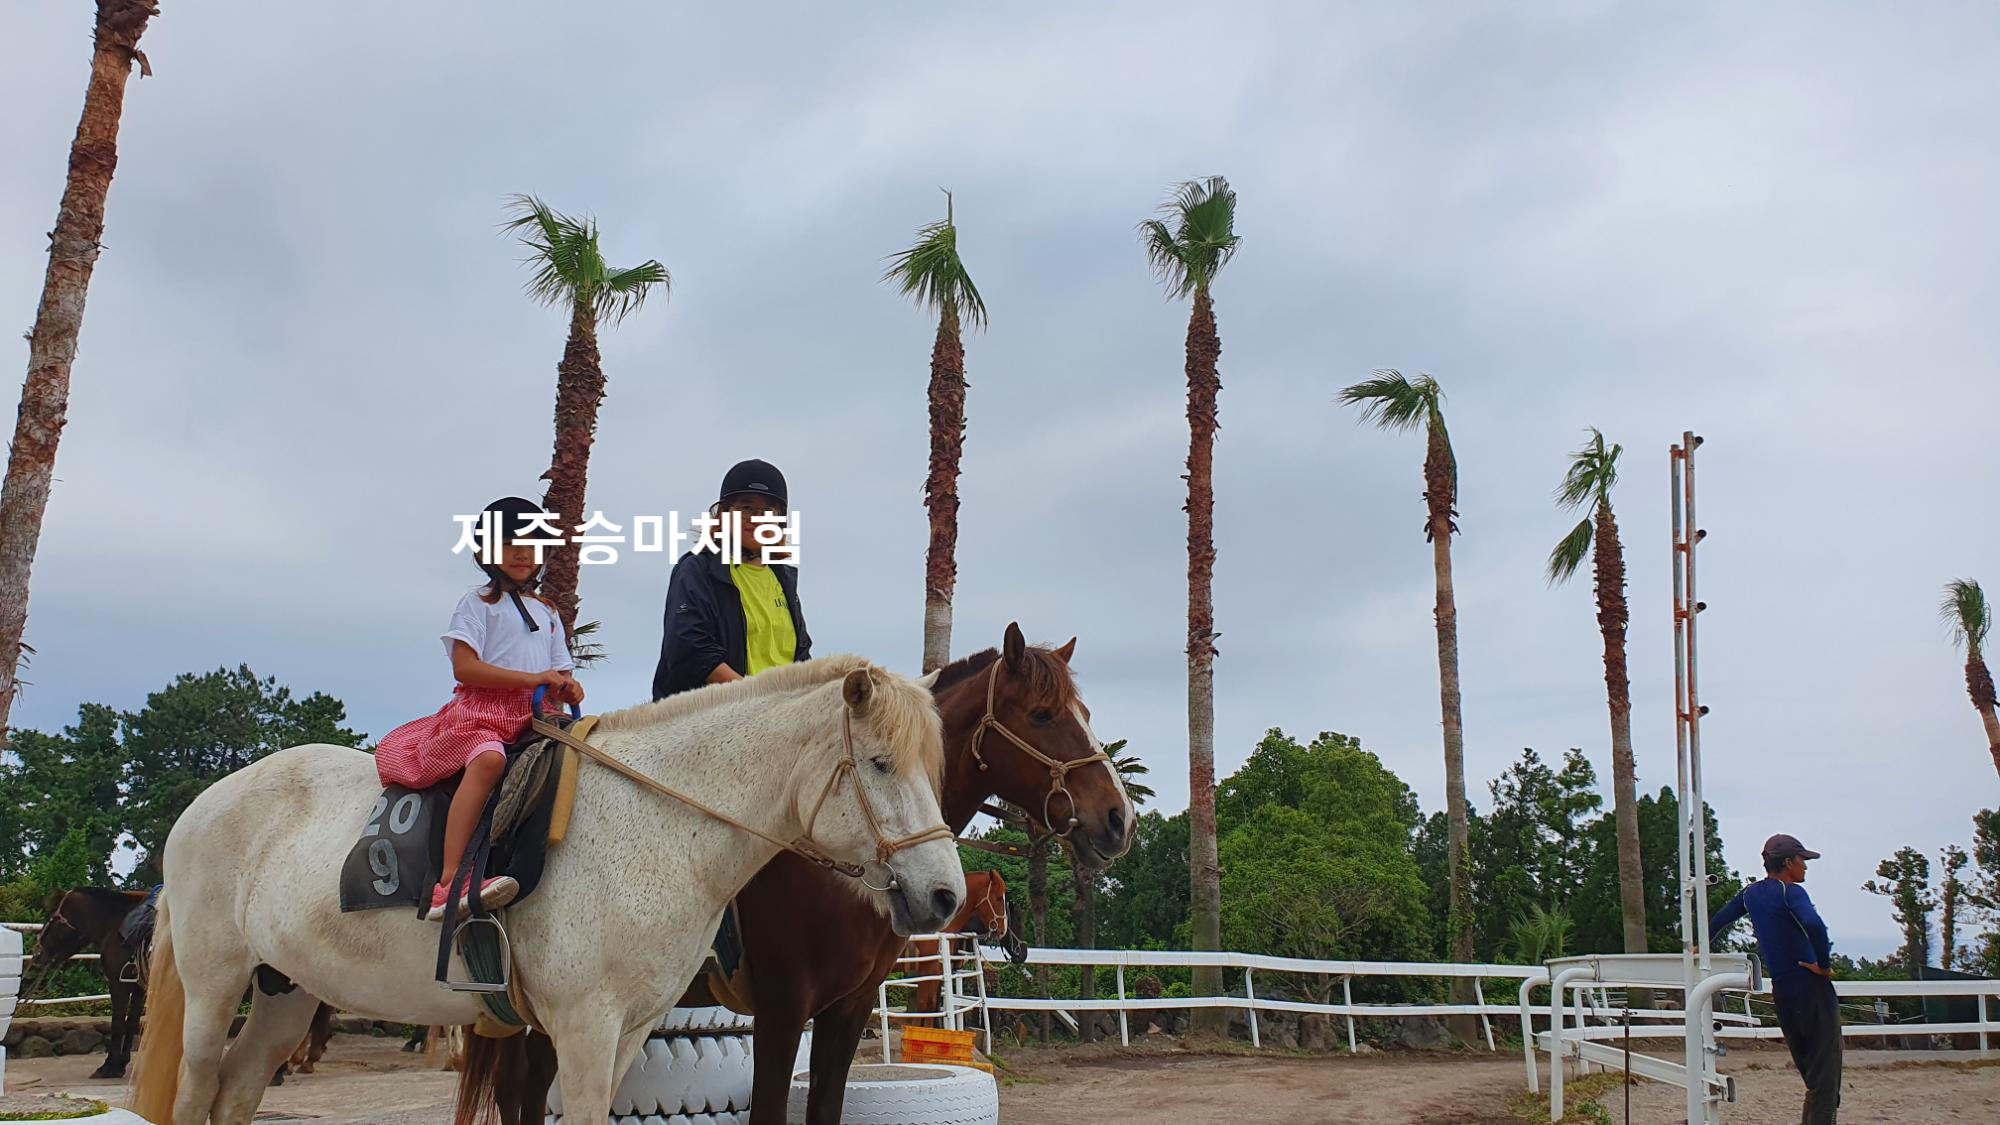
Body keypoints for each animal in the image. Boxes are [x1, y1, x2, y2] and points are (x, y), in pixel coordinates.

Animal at [129, 656, 966, 1125]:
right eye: (882, 763)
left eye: (936, 767)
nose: (944, 897)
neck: (660, 817)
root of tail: (201, 806)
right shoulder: (589, 1025)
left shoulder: (629, 1028)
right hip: (214, 986)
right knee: (193, 1096)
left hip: (286, 992)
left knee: (235, 1095)